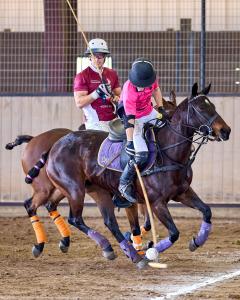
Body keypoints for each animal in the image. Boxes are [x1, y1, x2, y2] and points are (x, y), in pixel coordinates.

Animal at [6, 93, 176, 258]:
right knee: (32, 205)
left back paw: (64, 241)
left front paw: (139, 243)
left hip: (65, 188)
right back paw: (41, 244)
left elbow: (146, 221)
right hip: (51, 188)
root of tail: (34, 139)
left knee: (50, 205)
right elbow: (139, 221)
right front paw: (136, 243)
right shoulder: (132, 198)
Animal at [44, 83, 232, 268]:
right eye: (201, 108)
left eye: (213, 106)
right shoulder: (156, 203)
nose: (226, 131)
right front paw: (150, 251)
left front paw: (196, 241)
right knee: (75, 218)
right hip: (74, 189)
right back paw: (124, 252)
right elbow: (173, 233)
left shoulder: (182, 193)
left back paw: (120, 251)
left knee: (107, 221)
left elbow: (207, 211)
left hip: (94, 190)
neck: (168, 153)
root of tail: (55, 145)